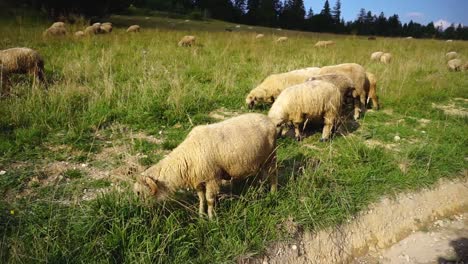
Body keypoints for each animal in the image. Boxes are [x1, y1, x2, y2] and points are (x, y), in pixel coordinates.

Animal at [133, 113, 278, 219]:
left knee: (273, 175)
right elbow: (201, 199)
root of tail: (269, 120)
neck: (187, 155)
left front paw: (211, 218)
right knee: (262, 175)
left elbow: (209, 200)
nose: (140, 211)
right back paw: (260, 190)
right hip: (260, 159)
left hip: (271, 156)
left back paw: (272, 193)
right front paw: (201, 215)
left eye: (139, 193)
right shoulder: (199, 181)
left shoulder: (212, 179)